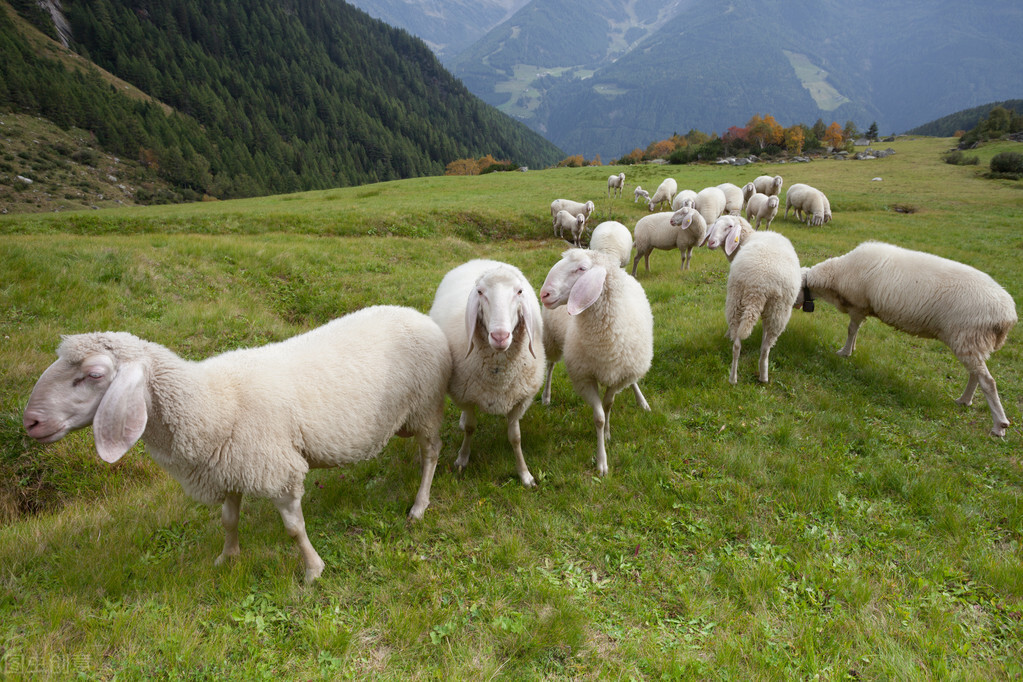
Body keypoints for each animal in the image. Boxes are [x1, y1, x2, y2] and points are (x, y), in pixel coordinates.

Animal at [21, 308, 454, 580]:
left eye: (93, 374)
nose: (31, 422)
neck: (211, 403)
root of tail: (420, 315)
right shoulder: (228, 468)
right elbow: (229, 520)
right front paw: (228, 558)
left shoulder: (278, 469)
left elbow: (294, 529)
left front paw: (313, 570)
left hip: (427, 406)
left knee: (431, 453)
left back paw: (419, 505)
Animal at [427, 258, 548, 488]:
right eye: (481, 292)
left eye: (519, 291)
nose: (500, 336)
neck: (499, 376)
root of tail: (481, 261)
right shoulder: (466, 396)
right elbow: (470, 428)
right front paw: (462, 458)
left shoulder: (520, 400)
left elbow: (515, 437)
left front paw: (525, 474)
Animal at [540, 248, 650, 478]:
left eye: (581, 269)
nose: (544, 294)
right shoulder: (585, 378)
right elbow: (598, 416)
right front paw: (602, 462)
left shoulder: (618, 375)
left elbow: (608, 405)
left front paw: (607, 433)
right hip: (552, 339)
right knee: (551, 366)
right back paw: (546, 396)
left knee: (633, 380)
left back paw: (642, 401)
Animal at [703, 214, 797, 384]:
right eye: (715, 224)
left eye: (729, 226)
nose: (711, 242)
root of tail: (758, 285)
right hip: (776, 310)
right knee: (762, 348)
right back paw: (757, 376)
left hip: (746, 303)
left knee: (742, 345)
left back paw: (739, 378)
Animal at [797, 242, 1014, 437]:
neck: (837, 273)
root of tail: (1007, 315)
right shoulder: (862, 308)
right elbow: (856, 330)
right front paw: (852, 349)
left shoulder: (858, 304)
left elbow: (851, 329)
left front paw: (844, 352)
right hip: (971, 341)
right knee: (976, 374)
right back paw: (964, 400)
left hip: (967, 336)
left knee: (988, 381)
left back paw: (999, 425)